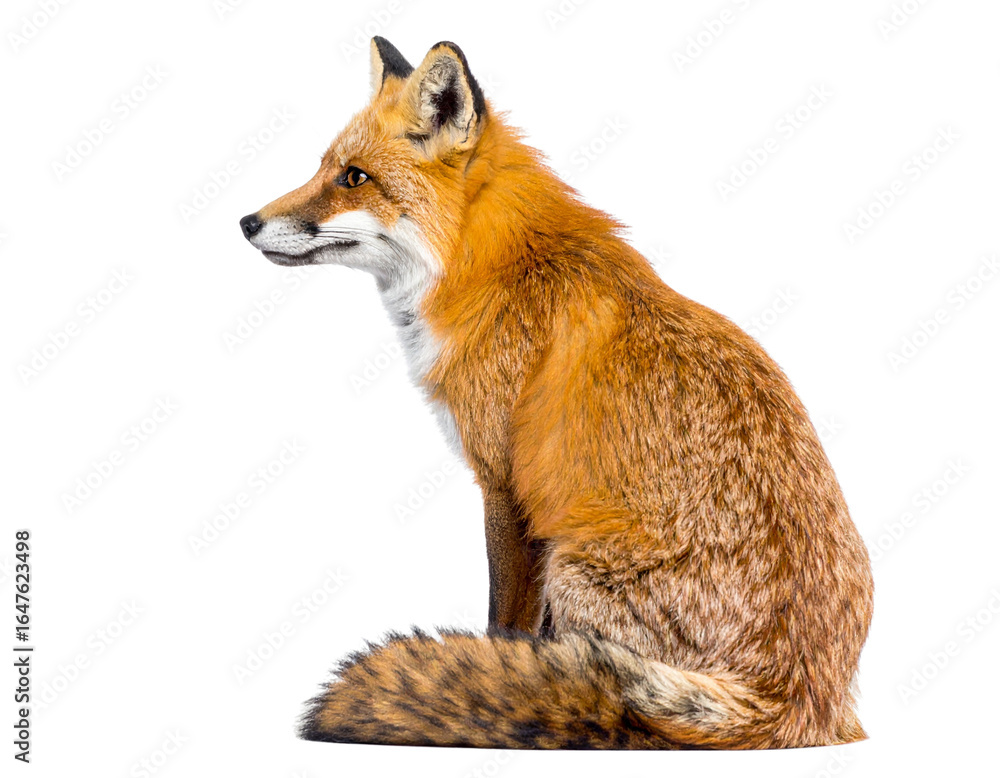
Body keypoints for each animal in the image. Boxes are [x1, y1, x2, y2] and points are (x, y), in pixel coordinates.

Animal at [239, 37, 874, 749]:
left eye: (353, 178)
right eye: (323, 167)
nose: (247, 221)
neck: (490, 267)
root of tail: (801, 703)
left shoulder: (505, 485)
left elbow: (502, 625)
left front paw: (488, 679)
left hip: (575, 568)